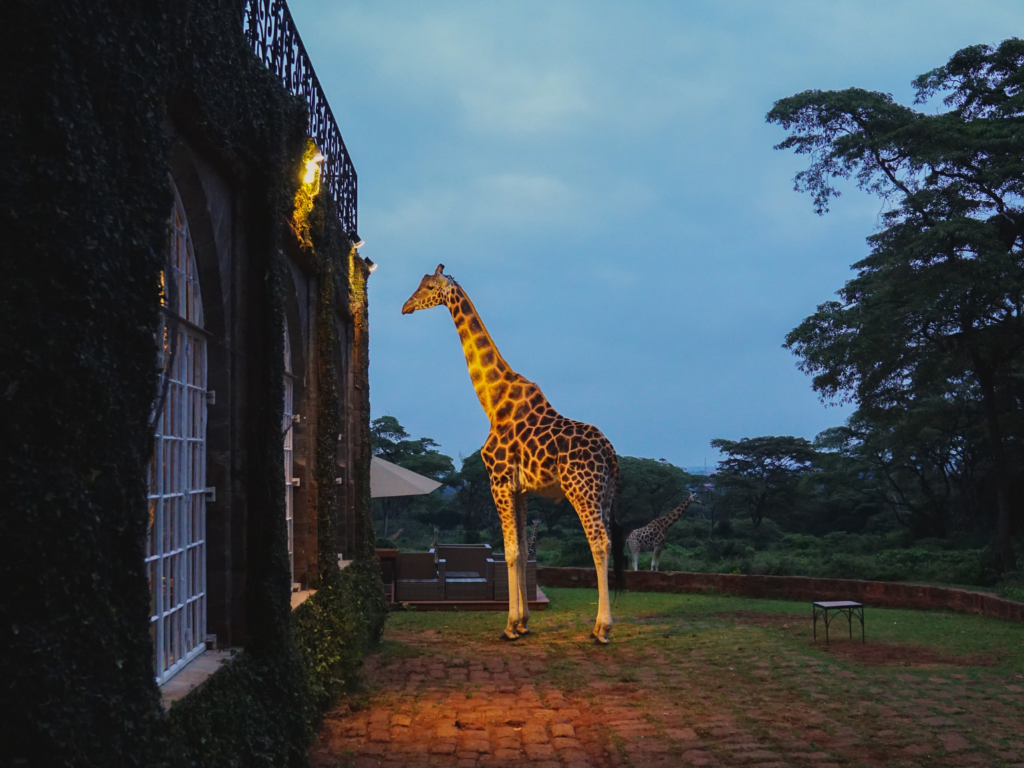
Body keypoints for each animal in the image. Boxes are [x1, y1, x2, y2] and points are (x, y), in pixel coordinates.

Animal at [401, 264, 622, 643]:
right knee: (606, 542)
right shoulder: (520, 488)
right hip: (604, 495)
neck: (493, 402)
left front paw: (509, 626)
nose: (405, 307)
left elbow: (510, 551)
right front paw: (523, 622)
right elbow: (518, 550)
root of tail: (609, 452)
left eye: (428, 287)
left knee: (599, 544)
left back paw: (601, 628)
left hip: (582, 491)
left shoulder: (499, 480)